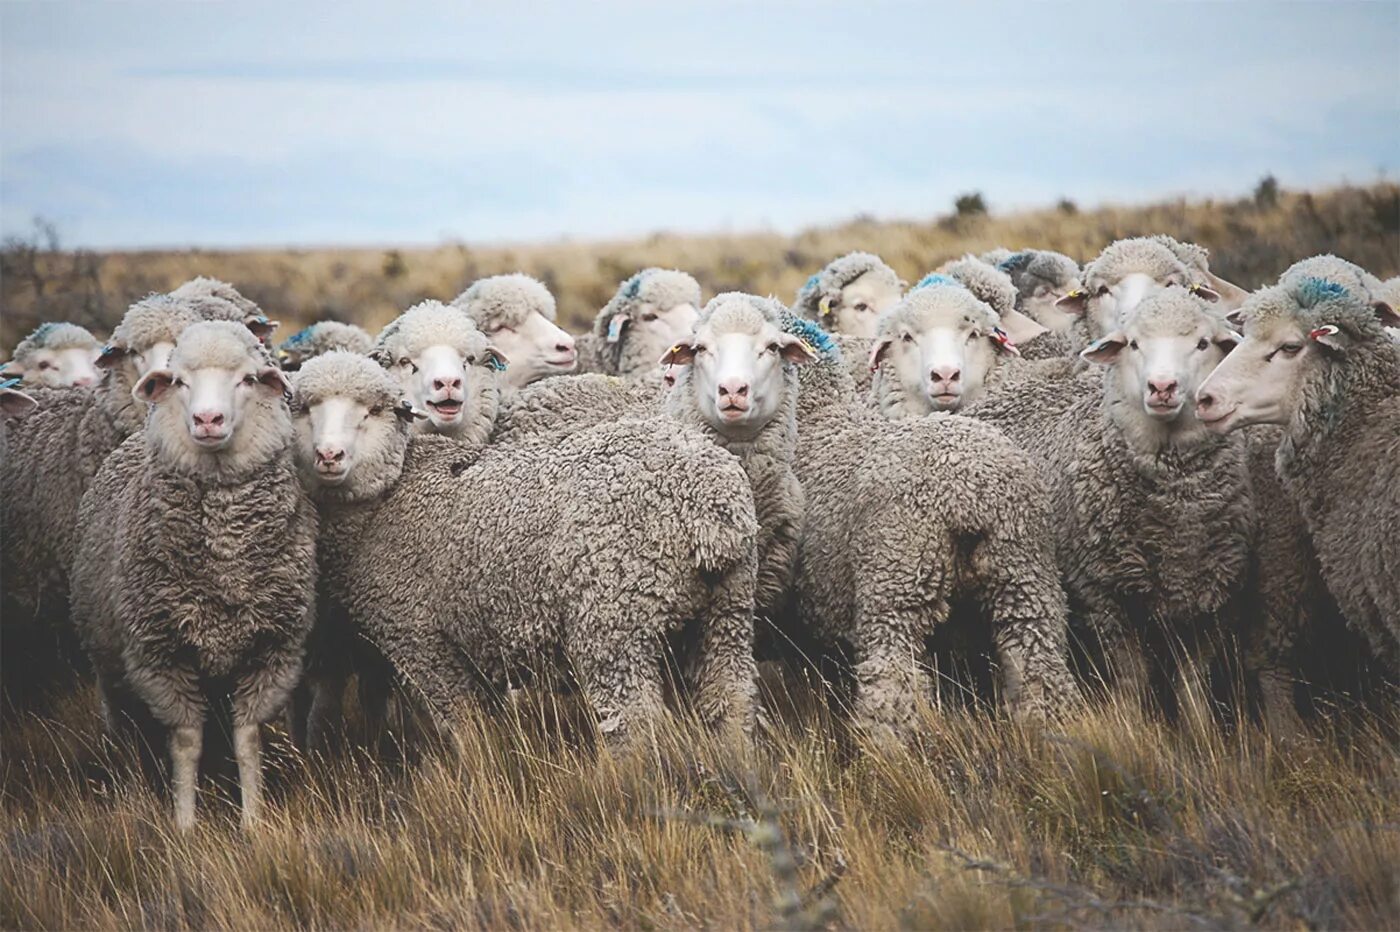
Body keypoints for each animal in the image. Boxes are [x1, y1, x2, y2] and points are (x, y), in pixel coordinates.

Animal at [71, 321, 317, 828]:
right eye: (181, 381)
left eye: (247, 379)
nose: (207, 420)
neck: (225, 558)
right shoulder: (161, 658)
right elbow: (186, 744)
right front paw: (184, 822)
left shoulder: (269, 653)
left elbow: (248, 741)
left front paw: (252, 821)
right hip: (110, 666)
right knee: (128, 728)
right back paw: (134, 783)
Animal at [288, 348, 761, 750]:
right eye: (304, 410)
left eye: (372, 411)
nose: (329, 455)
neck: (384, 500)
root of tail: (708, 501)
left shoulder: (419, 640)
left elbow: (466, 727)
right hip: (727, 612)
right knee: (731, 699)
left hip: (614, 619)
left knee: (637, 724)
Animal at [968, 286, 1254, 708]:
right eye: (1133, 344)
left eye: (1203, 343)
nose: (1162, 387)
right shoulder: (1101, 595)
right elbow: (1132, 678)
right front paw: (1133, 718)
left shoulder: (1213, 601)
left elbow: (1191, 685)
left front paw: (1199, 724)